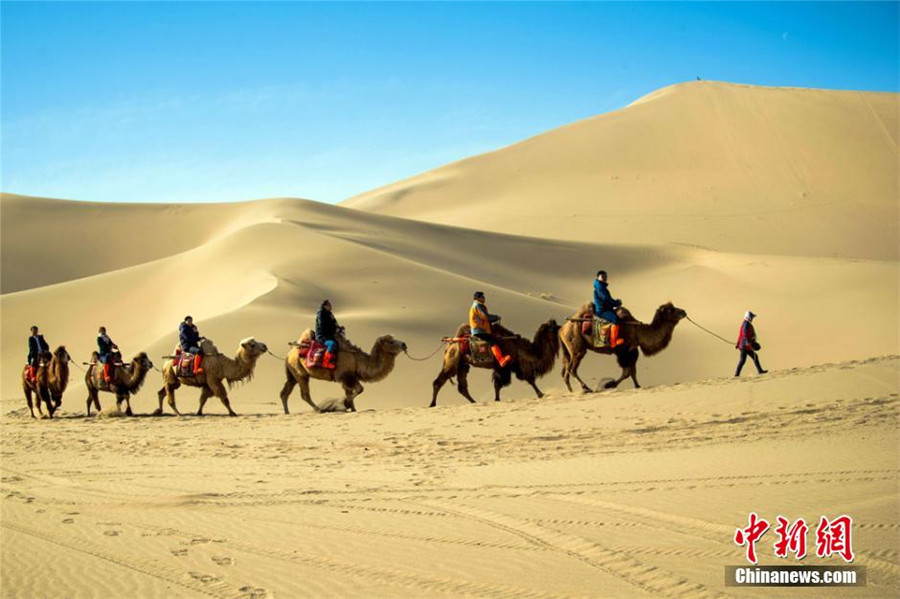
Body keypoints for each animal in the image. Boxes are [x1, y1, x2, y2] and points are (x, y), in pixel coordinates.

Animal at [430, 318, 564, 408]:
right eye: (553, 327)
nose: (562, 327)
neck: (518, 347)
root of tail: (449, 345)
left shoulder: (506, 367)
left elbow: (498, 385)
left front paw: (497, 399)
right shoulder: (508, 366)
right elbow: (528, 379)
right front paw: (541, 394)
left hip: (463, 365)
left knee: (462, 386)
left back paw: (474, 402)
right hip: (452, 362)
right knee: (438, 381)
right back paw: (432, 404)